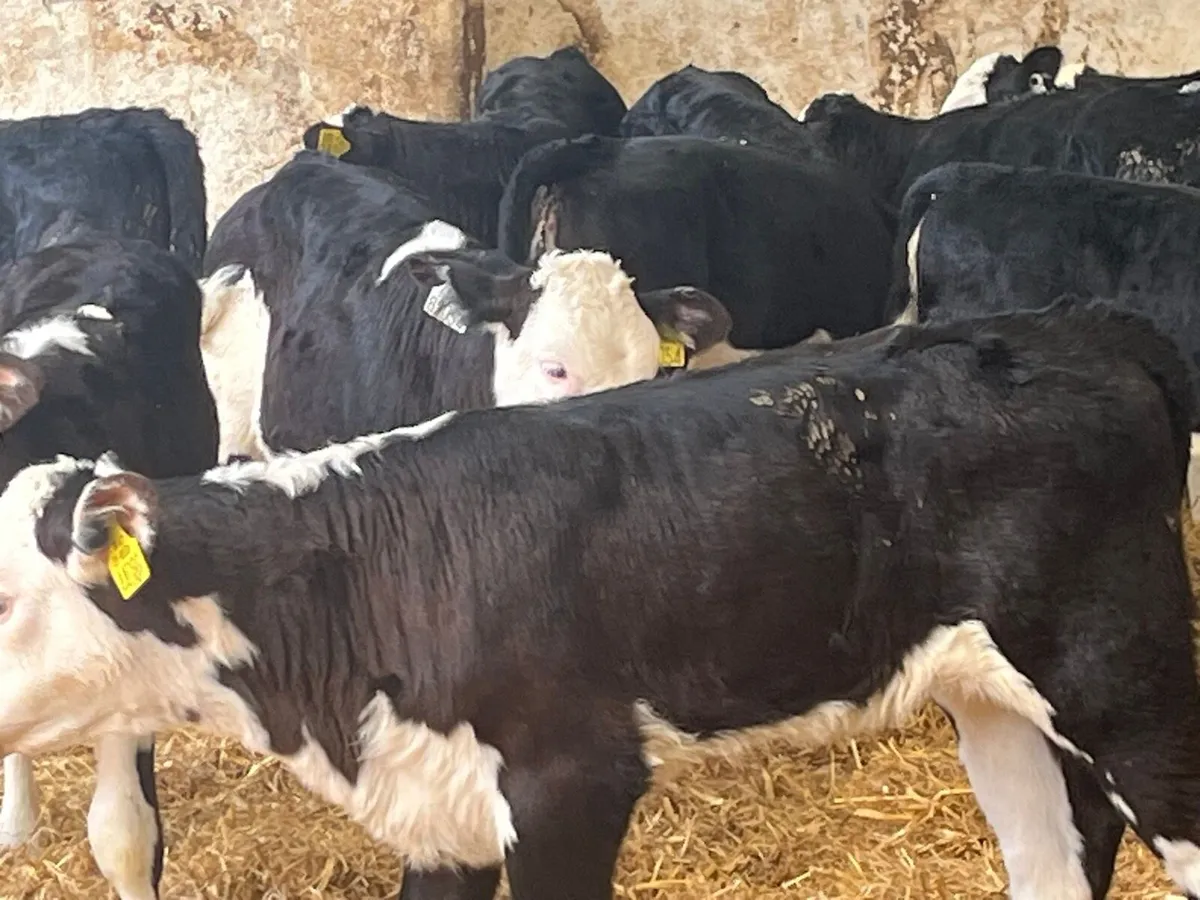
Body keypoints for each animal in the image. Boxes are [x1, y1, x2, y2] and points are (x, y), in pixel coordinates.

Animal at [0, 301, 1199, 900]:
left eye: (8, 600)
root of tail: (1083, 331)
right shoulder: (442, 814)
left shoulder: (570, 783)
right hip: (994, 694)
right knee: (1056, 850)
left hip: (1125, 677)